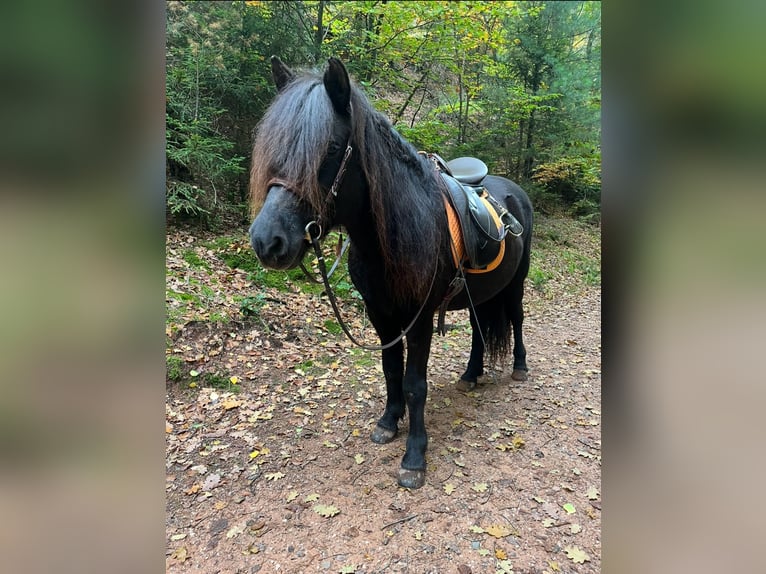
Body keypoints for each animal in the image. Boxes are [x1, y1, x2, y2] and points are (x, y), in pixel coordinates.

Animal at [249, 57, 533, 489]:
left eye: (331, 148)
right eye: (276, 145)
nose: (268, 241)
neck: (392, 236)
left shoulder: (418, 319)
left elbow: (415, 384)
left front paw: (414, 456)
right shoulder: (381, 315)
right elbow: (389, 371)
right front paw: (388, 422)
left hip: (516, 284)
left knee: (515, 319)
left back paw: (519, 367)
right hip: (477, 295)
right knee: (478, 330)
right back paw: (471, 374)